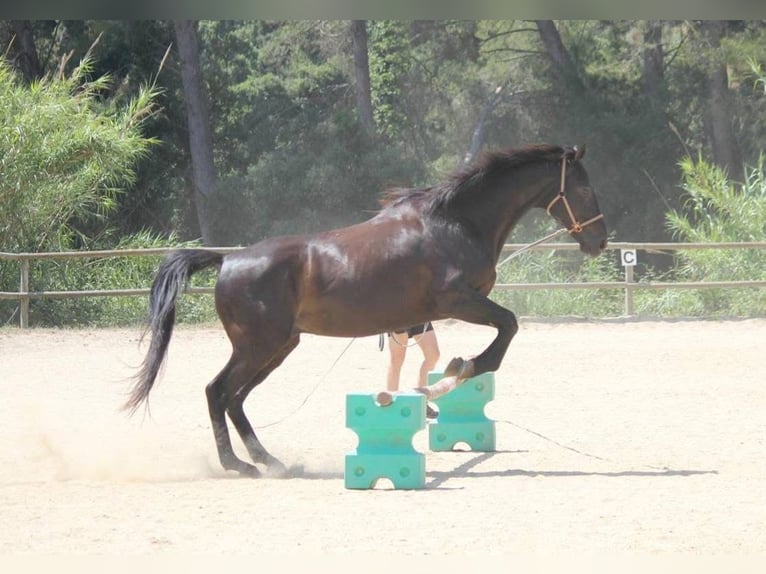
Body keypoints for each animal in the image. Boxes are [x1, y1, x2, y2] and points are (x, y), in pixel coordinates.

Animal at [126, 143, 608, 478]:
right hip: (257, 347)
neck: (455, 223)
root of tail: (227, 260)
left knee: (236, 399)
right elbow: (507, 327)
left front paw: (442, 379)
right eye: (584, 187)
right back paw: (240, 465)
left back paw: (270, 461)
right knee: (218, 392)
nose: (600, 241)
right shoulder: (458, 301)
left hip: (278, 348)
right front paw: (460, 370)